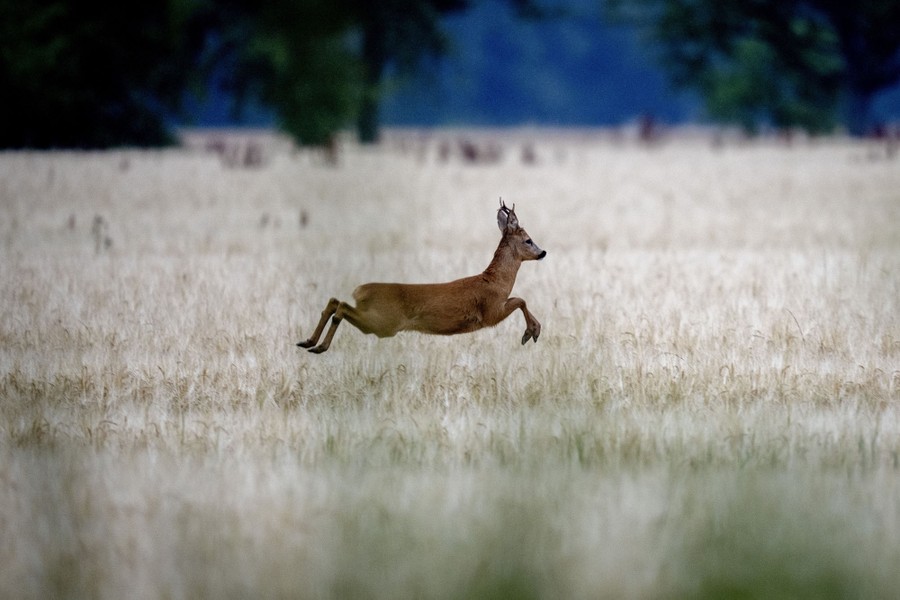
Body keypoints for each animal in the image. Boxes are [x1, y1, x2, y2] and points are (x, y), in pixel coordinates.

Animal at [297, 200, 546, 354]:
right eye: (528, 240)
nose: (542, 252)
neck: (496, 282)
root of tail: (360, 290)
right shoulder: (490, 312)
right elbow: (520, 300)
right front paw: (531, 332)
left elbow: (520, 300)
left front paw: (533, 331)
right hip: (384, 322)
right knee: (341, 307)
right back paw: (318, 346)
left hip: (378, 321)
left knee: (335, 301)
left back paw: (308, 342)